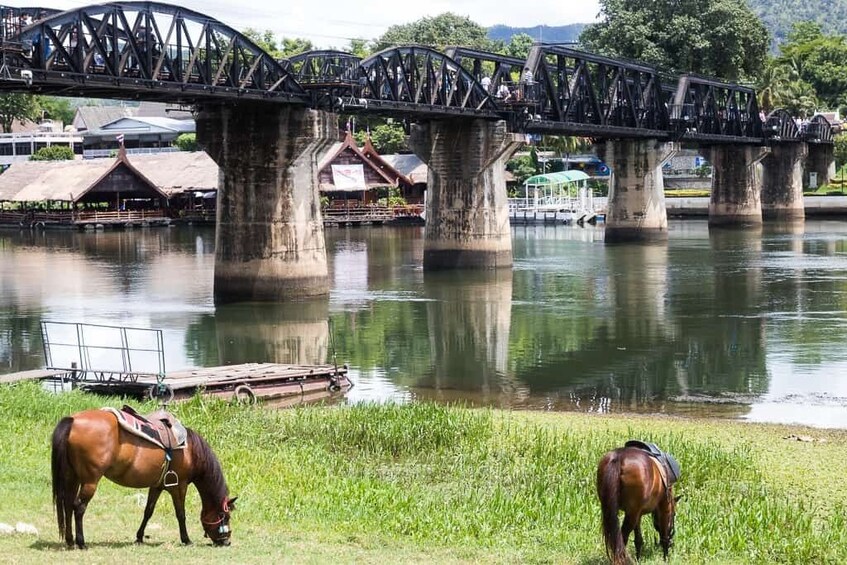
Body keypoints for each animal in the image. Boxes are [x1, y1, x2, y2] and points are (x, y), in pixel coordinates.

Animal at [51, 408, 237, 548]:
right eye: (225, 516)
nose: (226, 541)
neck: (190, 451)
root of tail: (73, 420)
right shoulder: (179, 486)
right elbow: (181, 514)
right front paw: (186, 539)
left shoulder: (157, 486)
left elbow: (148, 511)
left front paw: (139, 537)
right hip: (90, 482)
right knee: (78, 507)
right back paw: (81, 542)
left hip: (73, 477)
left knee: (68, 505)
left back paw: (70, 540)